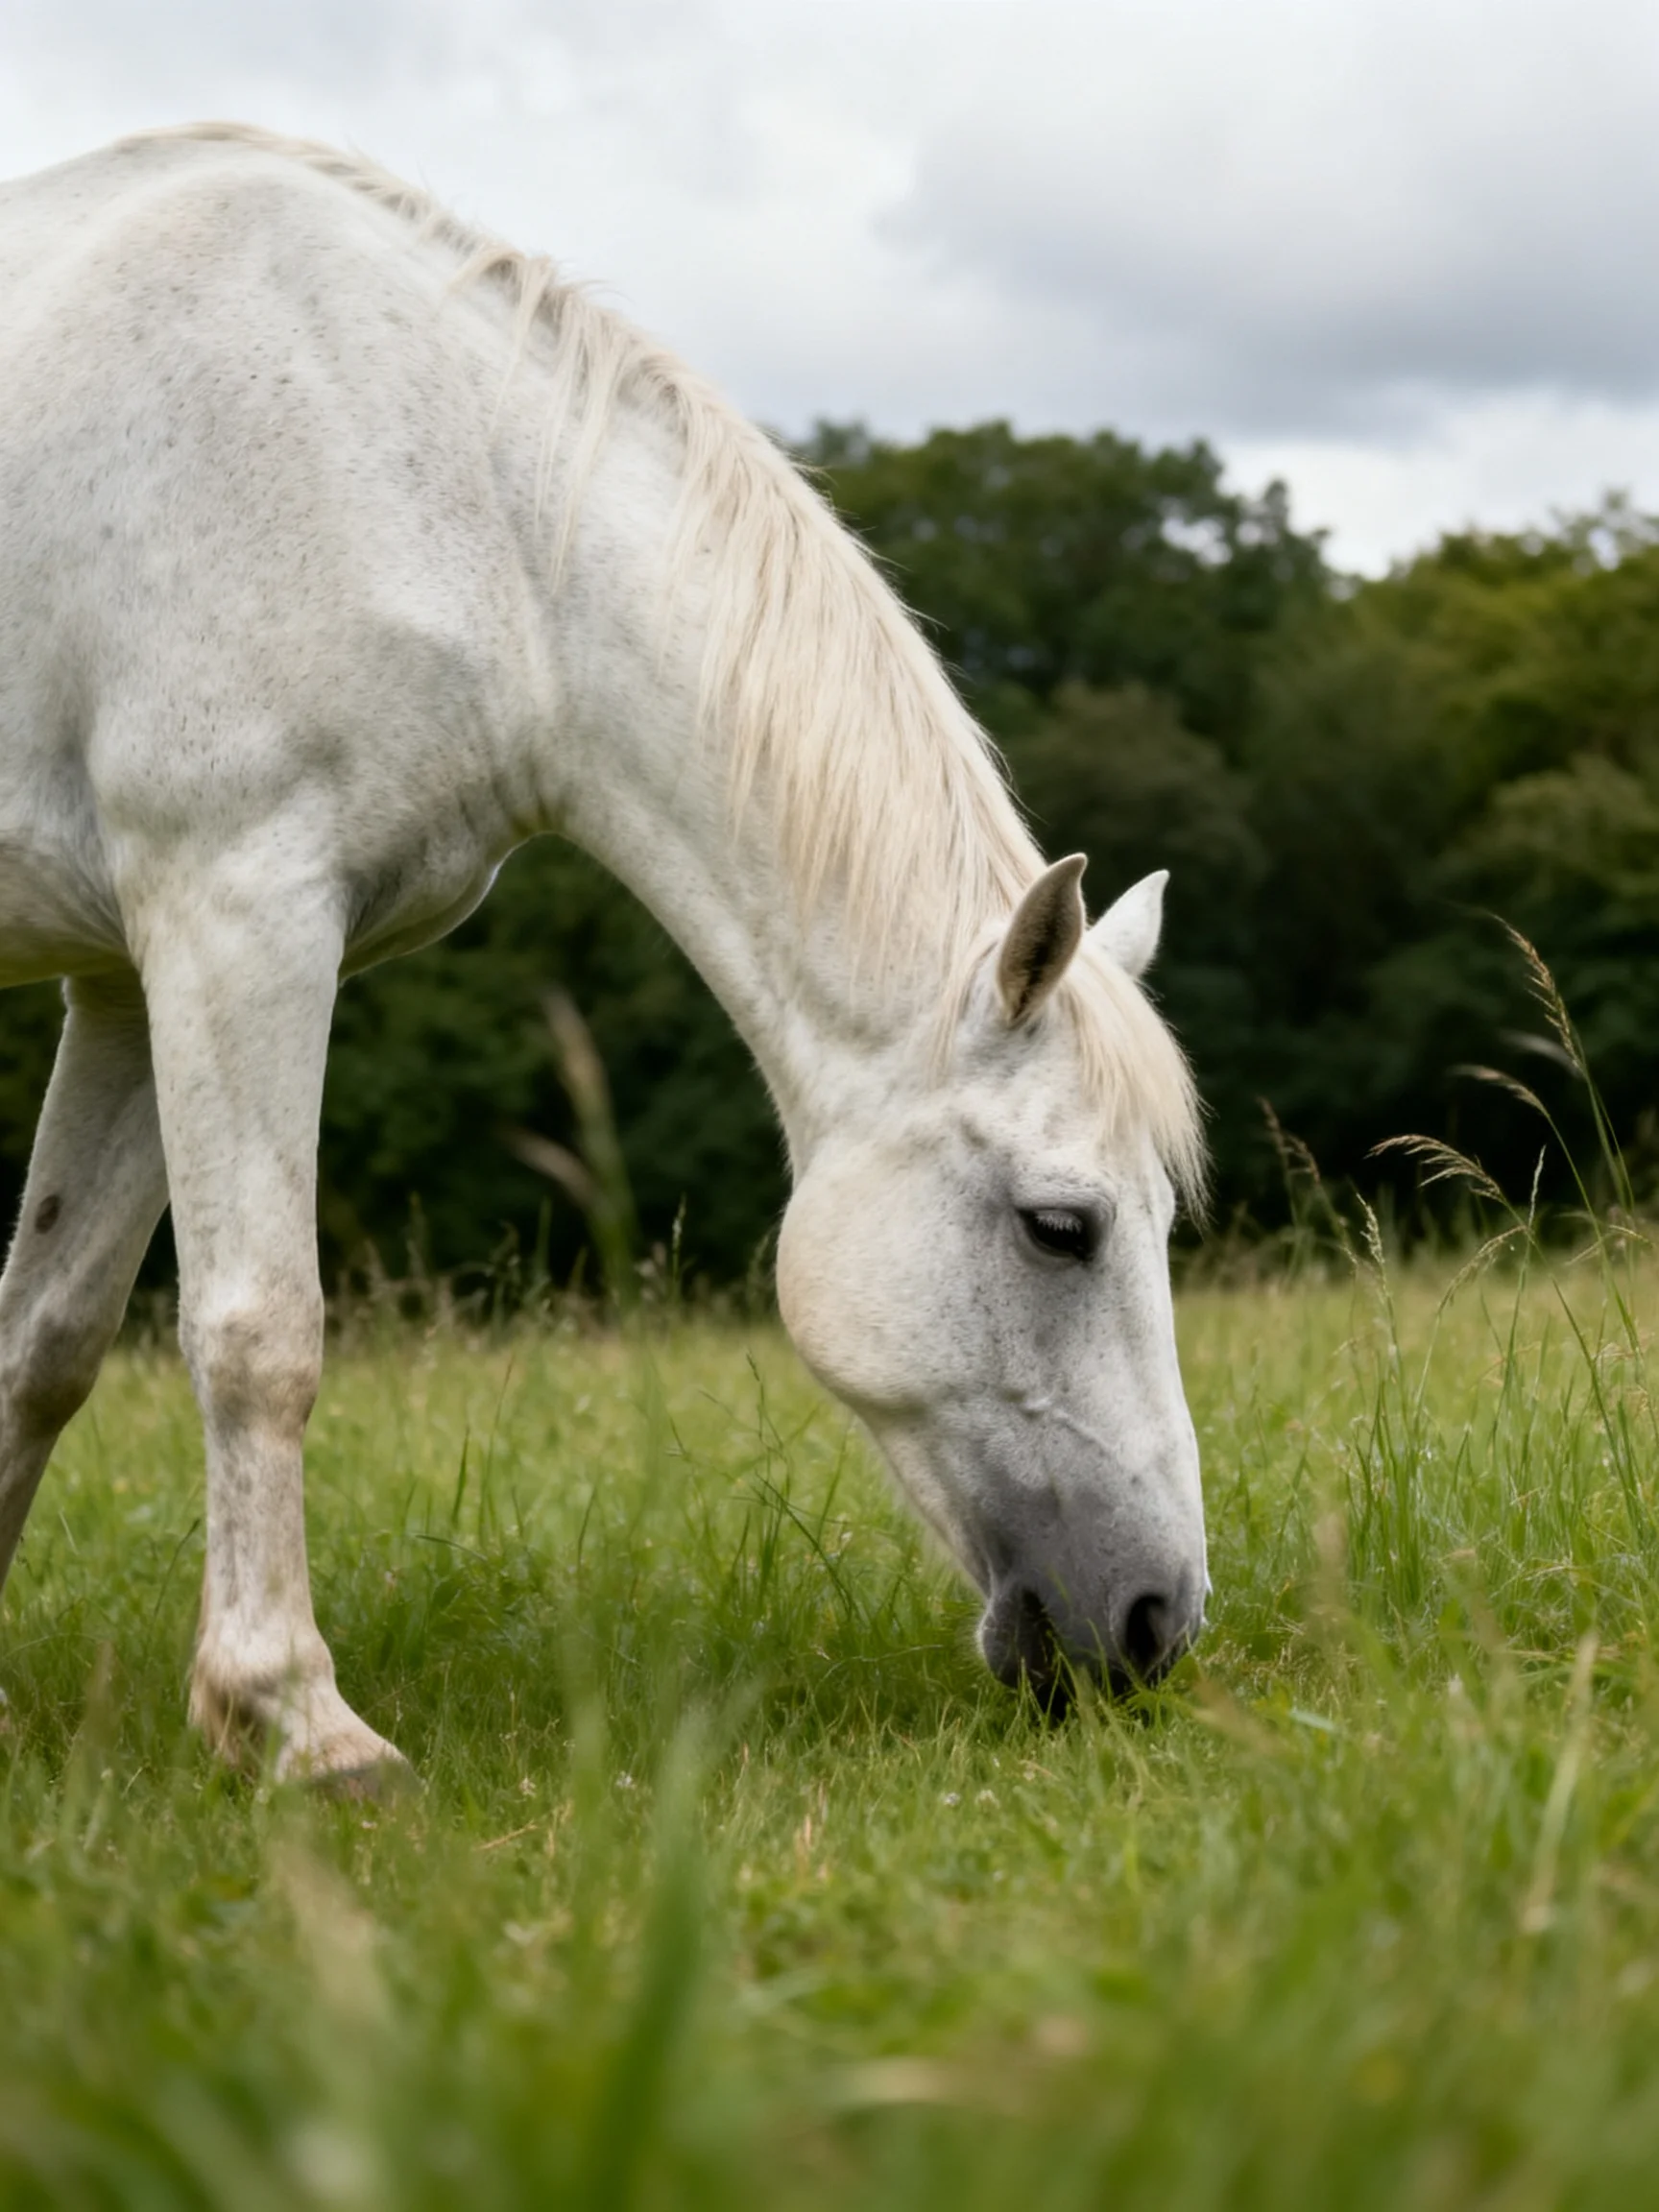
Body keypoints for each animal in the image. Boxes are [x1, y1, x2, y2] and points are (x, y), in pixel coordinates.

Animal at [0, 124, 1208, 1786]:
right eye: (1060, 1228)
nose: (1158, 1622)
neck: (422, 464)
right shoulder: (232, 912)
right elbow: (257, 1329)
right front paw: (298, 1724)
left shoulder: (125, 980)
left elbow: (42, 1339)